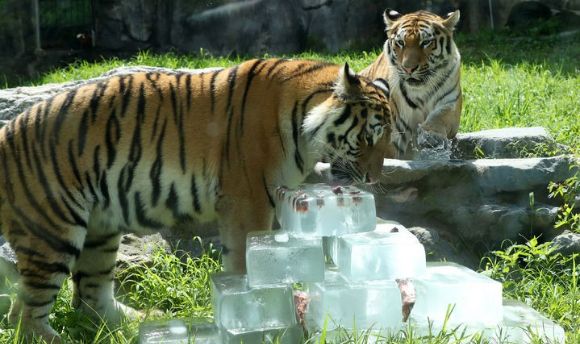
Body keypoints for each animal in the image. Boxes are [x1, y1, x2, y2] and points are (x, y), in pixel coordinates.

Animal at [0, 57, 394, 342]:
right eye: (369, 136)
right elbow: (244, 263)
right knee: (24, 314)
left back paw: (136, 324)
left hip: (100, 229)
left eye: (388, 138)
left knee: (90, 297)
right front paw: (254, 311)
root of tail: (5, 132)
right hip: (52, 229)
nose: (374, 178)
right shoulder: (248, 200)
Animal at [362, 8, 462, 159]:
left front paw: (431, 137)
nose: (408, 68)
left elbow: (440, 116)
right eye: (400, 42)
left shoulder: (451, 103)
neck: (421, 90)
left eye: (425, 42)